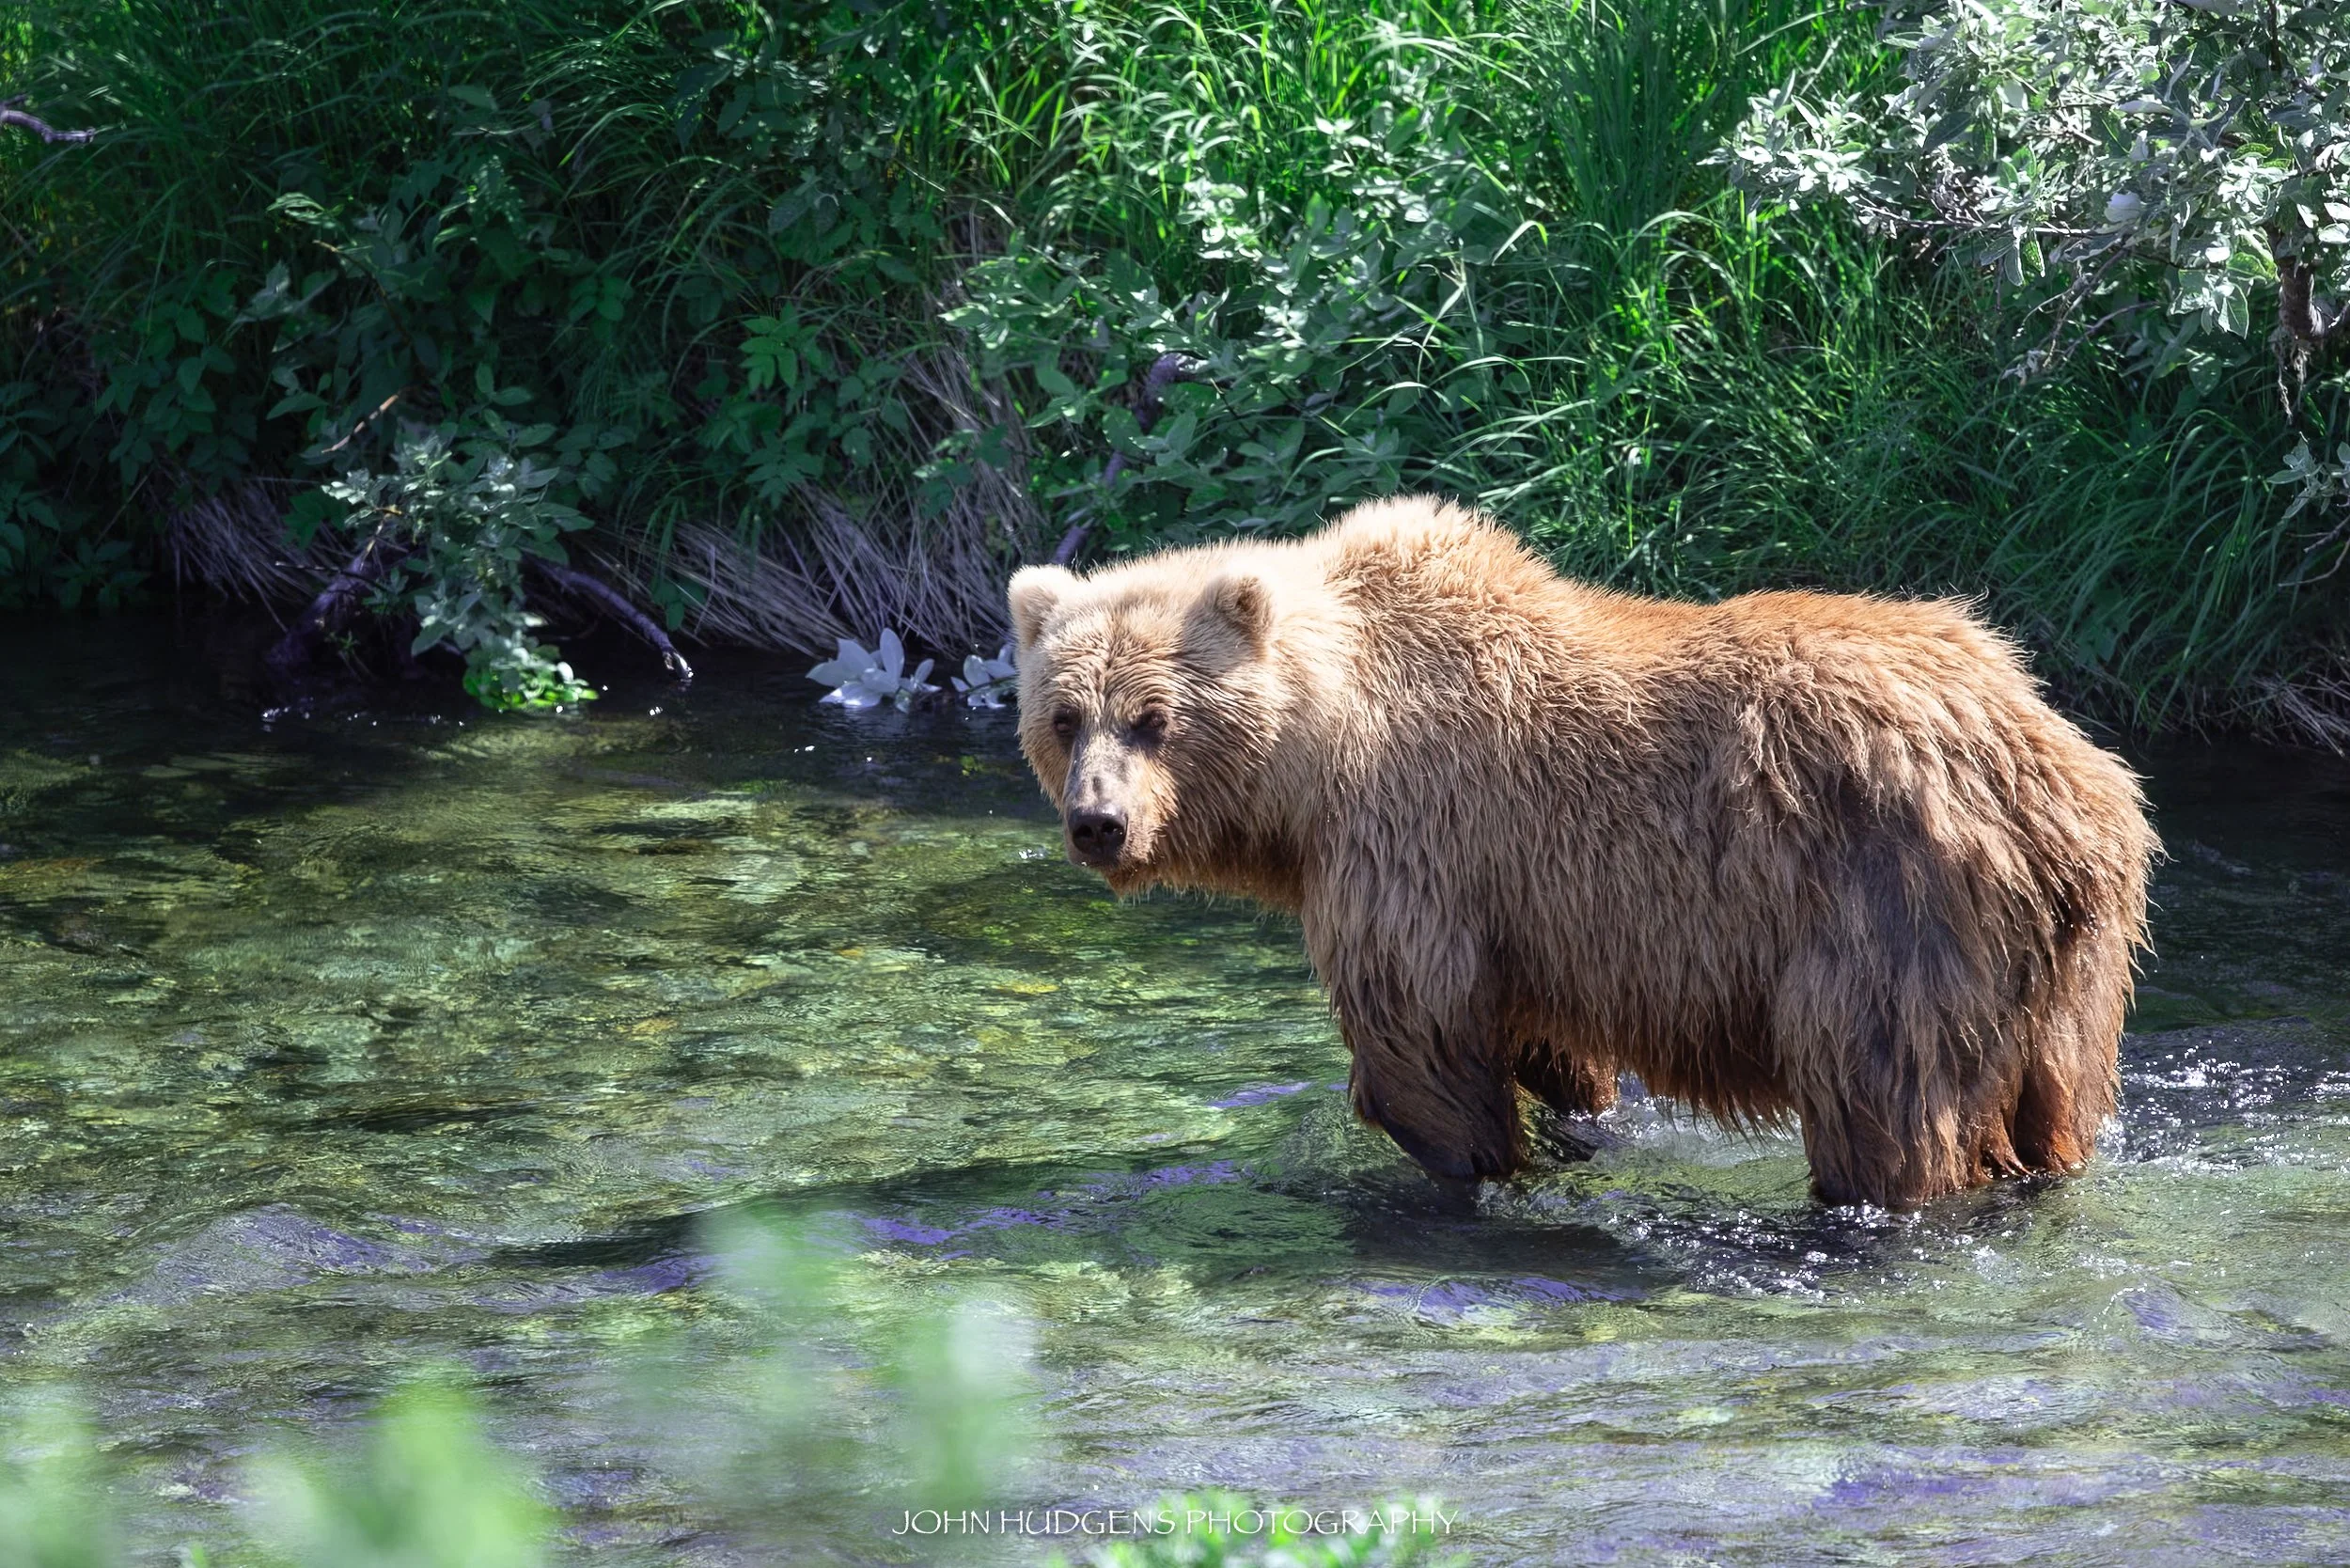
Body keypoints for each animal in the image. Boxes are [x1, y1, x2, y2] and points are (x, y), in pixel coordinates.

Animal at [1006, 496, 2155, 1209]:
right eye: (1065, 715)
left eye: (1154, 718)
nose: (1099, 822)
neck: (1319, 749)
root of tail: (2065, 776)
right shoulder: (1527, 915)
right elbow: (1548, 1049)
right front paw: (1573, 1128)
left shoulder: (1410, 845)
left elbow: (1418, 1039)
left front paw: (1463, 1163)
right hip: (2068, 964)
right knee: (2054, 1105)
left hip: (1889, 901)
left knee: (1880, 1094)